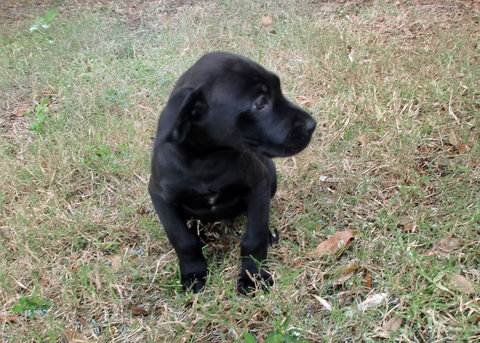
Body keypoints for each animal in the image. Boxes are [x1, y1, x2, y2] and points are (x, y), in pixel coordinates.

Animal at [149, 51, 316, 296]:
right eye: (259, 103)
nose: (312, 125)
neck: (207, 160)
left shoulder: (259, 186)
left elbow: (254, 236)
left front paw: (253, 275)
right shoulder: (161, 198)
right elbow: (183, 240)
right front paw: (193, 273)